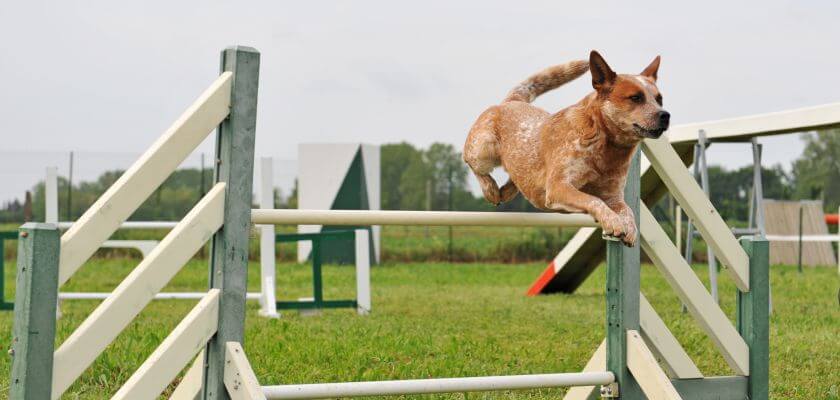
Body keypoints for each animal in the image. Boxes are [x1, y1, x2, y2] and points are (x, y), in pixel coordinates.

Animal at [460, 51, 668, 245]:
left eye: (659, 99)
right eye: (636, 97)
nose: (665, 115)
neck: (607, 149)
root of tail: (512, 101)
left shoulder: (614, 197)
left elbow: (628, 210)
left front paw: (630, 229)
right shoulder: (559, 187)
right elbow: (593, 200)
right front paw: (614, 222)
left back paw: (507, 190)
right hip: (483, 150)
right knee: (470, 161)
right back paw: (491, 190)